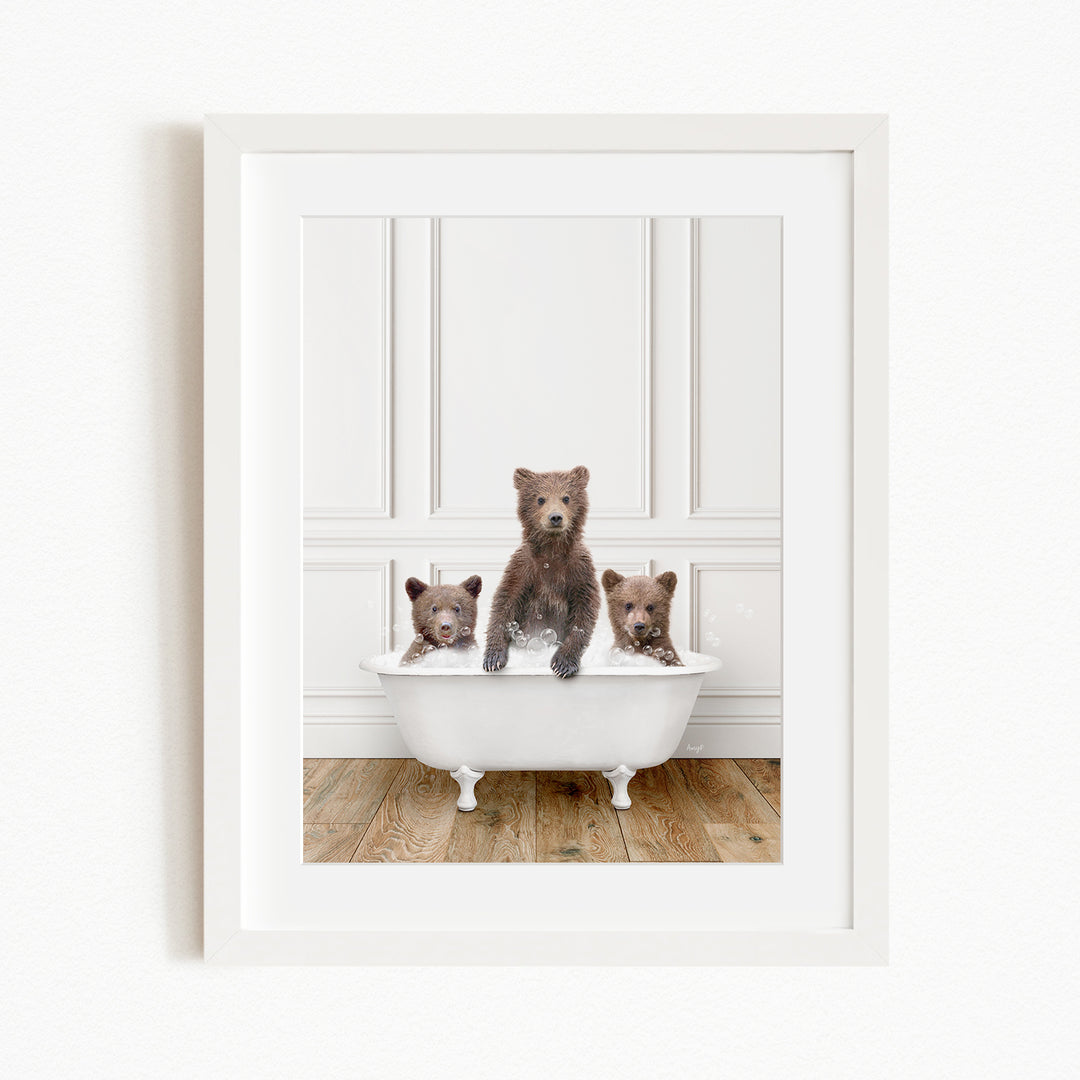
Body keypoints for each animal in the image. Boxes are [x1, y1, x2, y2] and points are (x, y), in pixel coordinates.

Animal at [483, 466, 599, 678]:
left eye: (566, 497)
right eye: (540, 499)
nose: (555, 517)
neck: (552, 550)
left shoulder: (579, 569)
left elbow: (584, 611)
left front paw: (562, 664)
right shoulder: (523, 566)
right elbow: (505, 602)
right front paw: (493, 658)